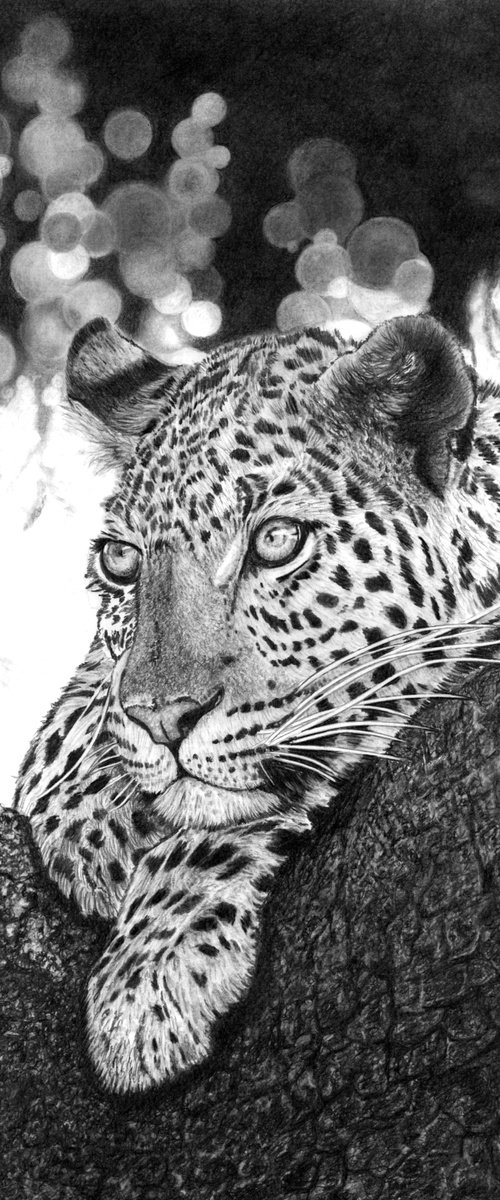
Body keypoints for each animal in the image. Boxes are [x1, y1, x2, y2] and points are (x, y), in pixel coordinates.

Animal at [14, 310, 500, 1094]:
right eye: (120, 562)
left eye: (276, 541)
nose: (163, 719)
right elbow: (74, 717)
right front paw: (93, 813)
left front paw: (149, 971)